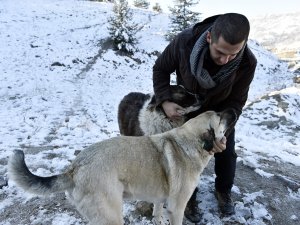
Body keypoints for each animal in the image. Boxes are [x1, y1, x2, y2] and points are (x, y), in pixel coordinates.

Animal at [7, 109, 237, 225]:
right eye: (220, 117)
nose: (234, 110)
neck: (187, 142)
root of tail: (74, 168)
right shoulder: (177, 207)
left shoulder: (160, 198)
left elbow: (157, 212)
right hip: (111, 216)